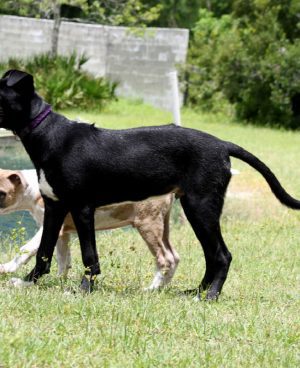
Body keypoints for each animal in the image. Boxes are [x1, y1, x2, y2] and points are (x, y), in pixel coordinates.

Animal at [0, 168, 178, 288]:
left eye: (2, 192)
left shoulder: (50, 226)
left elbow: (27, 249)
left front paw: (7, 268)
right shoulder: (62, 233)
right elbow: (63, 260)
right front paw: (59, 282)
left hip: (148, 224)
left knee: (165, 259)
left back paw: (151, 289)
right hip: (163, 226)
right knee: (174, 257)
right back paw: (159, 288)